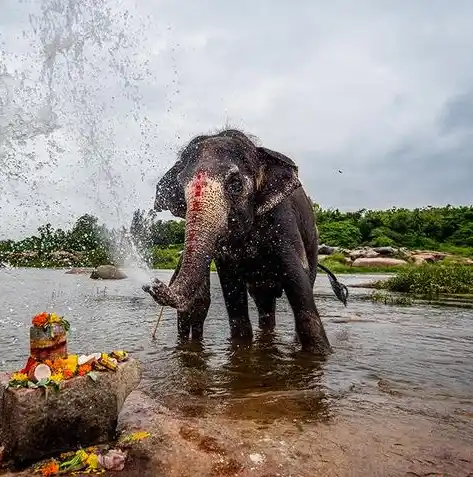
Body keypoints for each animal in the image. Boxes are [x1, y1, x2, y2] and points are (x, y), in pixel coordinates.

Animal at [143, 128, 346, 356]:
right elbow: (231, 286)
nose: (153, 283)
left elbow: (296, 276)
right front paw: (240, 349)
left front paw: (319, 354)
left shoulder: (283, 219)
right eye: (180, 187)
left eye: (235, 185)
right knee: (264, 303)